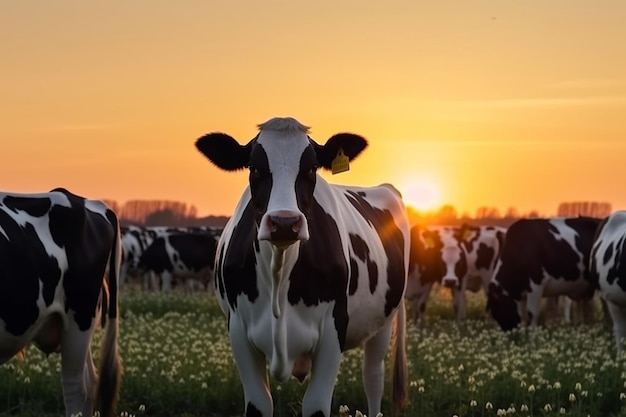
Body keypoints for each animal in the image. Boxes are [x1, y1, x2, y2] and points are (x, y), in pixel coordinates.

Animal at [195, 116, 410, 416]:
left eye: (311, 168)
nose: (284, 222)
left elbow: (316, 405)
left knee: (373, 377)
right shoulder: (238, 330)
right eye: (254, 167)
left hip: (384, 321)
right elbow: (260, 404)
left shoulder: (333, 328)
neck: (279, 273)